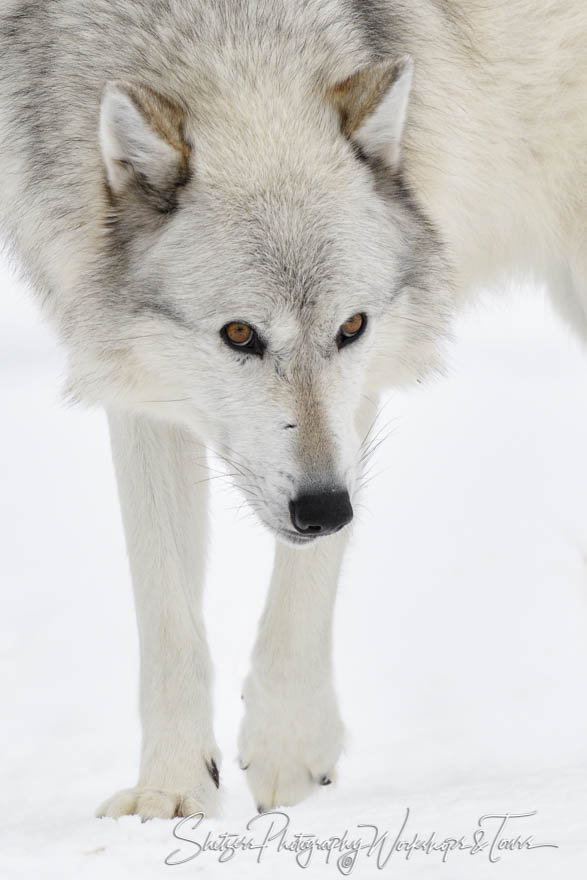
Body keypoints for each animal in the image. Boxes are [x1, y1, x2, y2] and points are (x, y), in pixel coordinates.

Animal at [0, 0, 584, 820]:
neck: (234, 42)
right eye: (240, 334)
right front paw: (171, 791)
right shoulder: (142, 382)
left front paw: (289, 746)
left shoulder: (355, 399)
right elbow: (167, 614)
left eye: (352, 327)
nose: (324, 508)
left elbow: (307, 579)